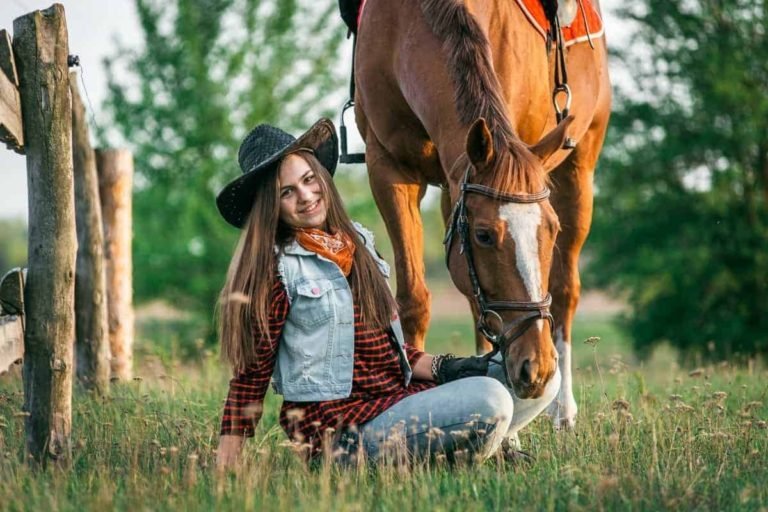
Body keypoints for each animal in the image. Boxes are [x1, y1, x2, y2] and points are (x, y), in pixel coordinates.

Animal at [354, 0, 612, 424]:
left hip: (579, 167)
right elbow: (414, 299)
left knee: (564, 289)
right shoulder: (388, 167)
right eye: (484, 235)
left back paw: (562, 409)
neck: (404, 24)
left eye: (552, 230)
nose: (538, 367)